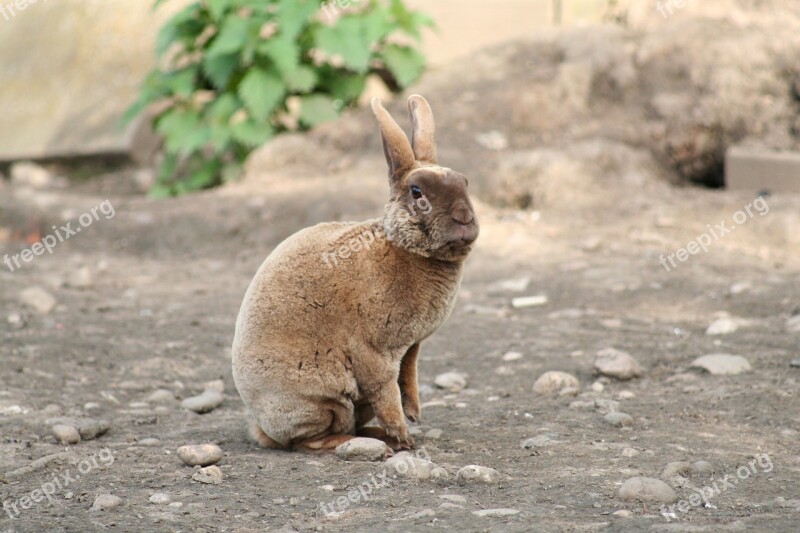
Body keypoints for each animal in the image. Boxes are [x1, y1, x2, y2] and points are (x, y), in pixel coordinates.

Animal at [233, 94, 482, 448]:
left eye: (465, 182)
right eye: (417, 192)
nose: (465, 217)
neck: (404, 249)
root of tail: (262, 428)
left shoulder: (411, 348)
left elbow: (408, 378)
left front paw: (415, 417)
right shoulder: (373, 350)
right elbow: (386, 390)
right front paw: (405, 437)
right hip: (323, 400)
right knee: (310, 439)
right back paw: (358, 442)